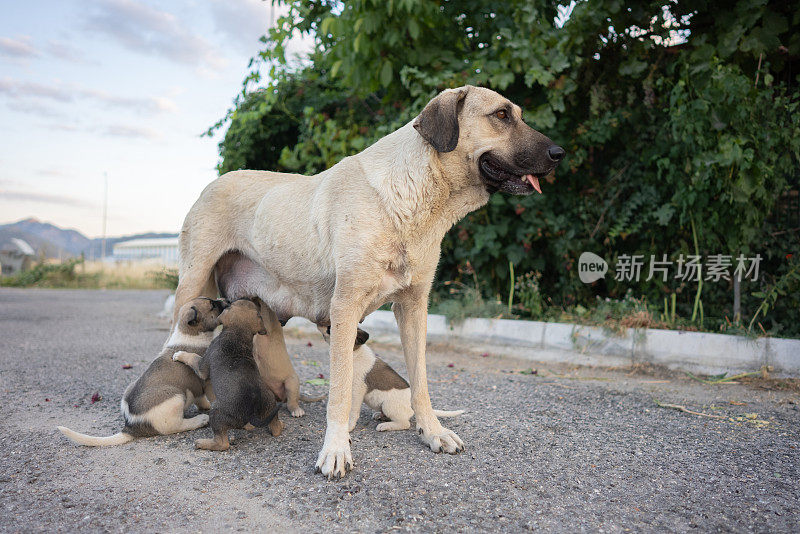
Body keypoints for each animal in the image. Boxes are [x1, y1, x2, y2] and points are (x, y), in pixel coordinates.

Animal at [58, 298, 225, 448]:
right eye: (212, 305)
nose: (226, 301)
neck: (190, 334)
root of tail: (131, 427)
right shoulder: (204, 381)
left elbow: (200, 398)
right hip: (175, 397)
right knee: (175, 426)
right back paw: (200, 420)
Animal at [318, 326, 466, 436]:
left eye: (331, 329)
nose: (323, 325)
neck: (354, 353)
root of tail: (412, 406)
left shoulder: (357, 390)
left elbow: (353, 411)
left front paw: (349, 426)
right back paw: (381, 416)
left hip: (388, 405)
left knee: (404, 423)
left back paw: (385, 425)